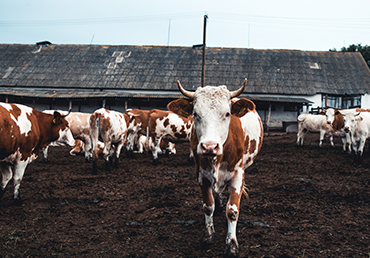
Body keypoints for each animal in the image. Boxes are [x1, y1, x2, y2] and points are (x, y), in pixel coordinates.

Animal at [168, 79, 264, 256]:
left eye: (227, 113)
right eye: (195, 113)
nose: (209, 147)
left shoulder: (238, 174)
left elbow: (232, 211)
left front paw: (231, 244)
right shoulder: (201, 174)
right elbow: (208, 206)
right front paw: (208, 235)